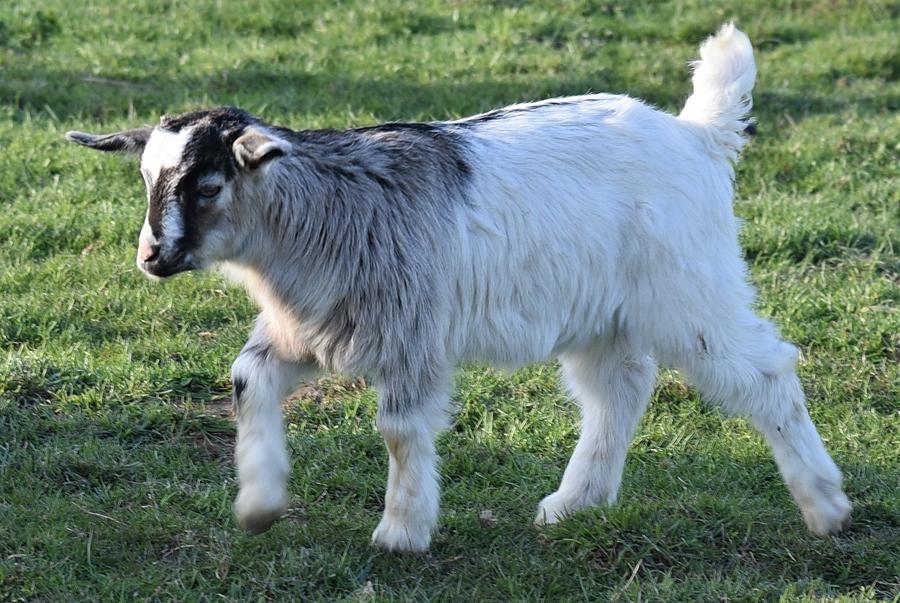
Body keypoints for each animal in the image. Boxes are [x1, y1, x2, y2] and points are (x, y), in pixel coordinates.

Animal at [65, 24, 852, 552]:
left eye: (205, 184)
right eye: (145, 179)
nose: (151, 257)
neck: (326, 212)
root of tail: (697, 135)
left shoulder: (411, 333)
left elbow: (399, 428)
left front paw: (401, 530)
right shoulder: (309, 328)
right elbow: (244, 379)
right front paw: (259, 504)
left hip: (690, 292)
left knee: (764, 374)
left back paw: (826, 507)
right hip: (603, 311)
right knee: (619, 390)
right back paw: (574, 503)